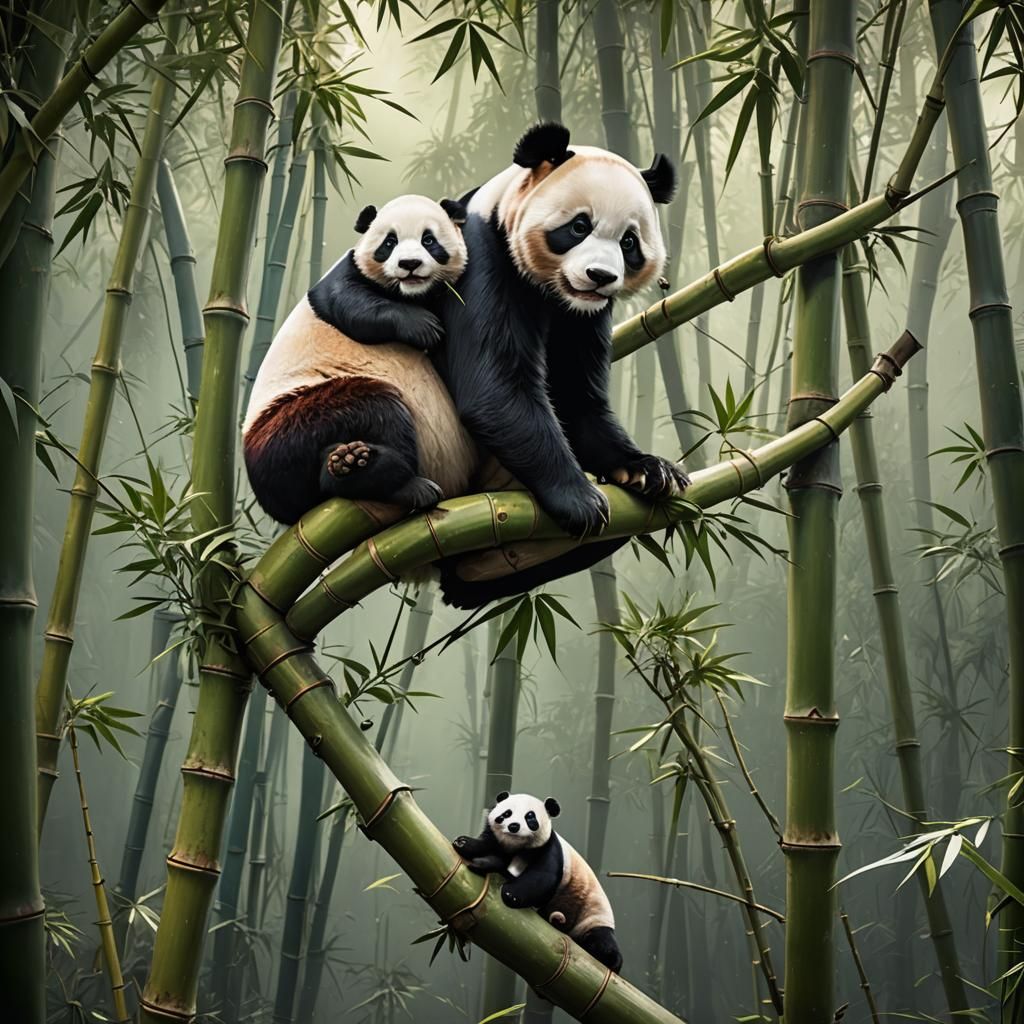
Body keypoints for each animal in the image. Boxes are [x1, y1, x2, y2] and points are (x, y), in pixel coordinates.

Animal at [242, 194, 477, 525]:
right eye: (389, 242)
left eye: (429, 240)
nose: (409, 265)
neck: (410, 293)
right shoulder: (346, 274)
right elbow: (349, 302)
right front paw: (424, 328)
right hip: (290, 420)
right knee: (378, 407)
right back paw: (377, 474)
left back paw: (347, 464)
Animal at [453, 791, 622, 973]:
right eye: (506, 813)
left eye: (530, 817)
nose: (514, 826)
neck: (518, 848)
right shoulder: (497, 842)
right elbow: (486, 845)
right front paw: (464, 844)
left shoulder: (549, 848)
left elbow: (543, 877)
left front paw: (510, 893)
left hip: (591, 916)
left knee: (602, 941)